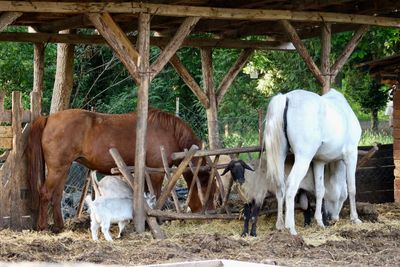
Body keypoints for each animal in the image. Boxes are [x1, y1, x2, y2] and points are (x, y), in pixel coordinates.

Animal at [27, 108, 216, 233]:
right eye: (206, 186)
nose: (210, 212)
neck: (168, 131)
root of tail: (49, 118)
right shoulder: (156, 171)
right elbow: (155, 194)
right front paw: (154, 221)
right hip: (58, 168)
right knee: (45, 193)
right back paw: (43, 227)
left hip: (63, 168)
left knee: (56, 196)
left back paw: (59, 226)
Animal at [264, 89, 360, 236]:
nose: (333, 218)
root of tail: (286, 97)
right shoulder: (351, 155)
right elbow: (352, 188)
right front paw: (355, 218)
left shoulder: (319, 161)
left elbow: (320, 190)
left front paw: (320, 222)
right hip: (303, 158)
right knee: (291, 186)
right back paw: (291, 228)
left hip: (280, 155)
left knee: (280, 187)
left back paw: (280, 225)